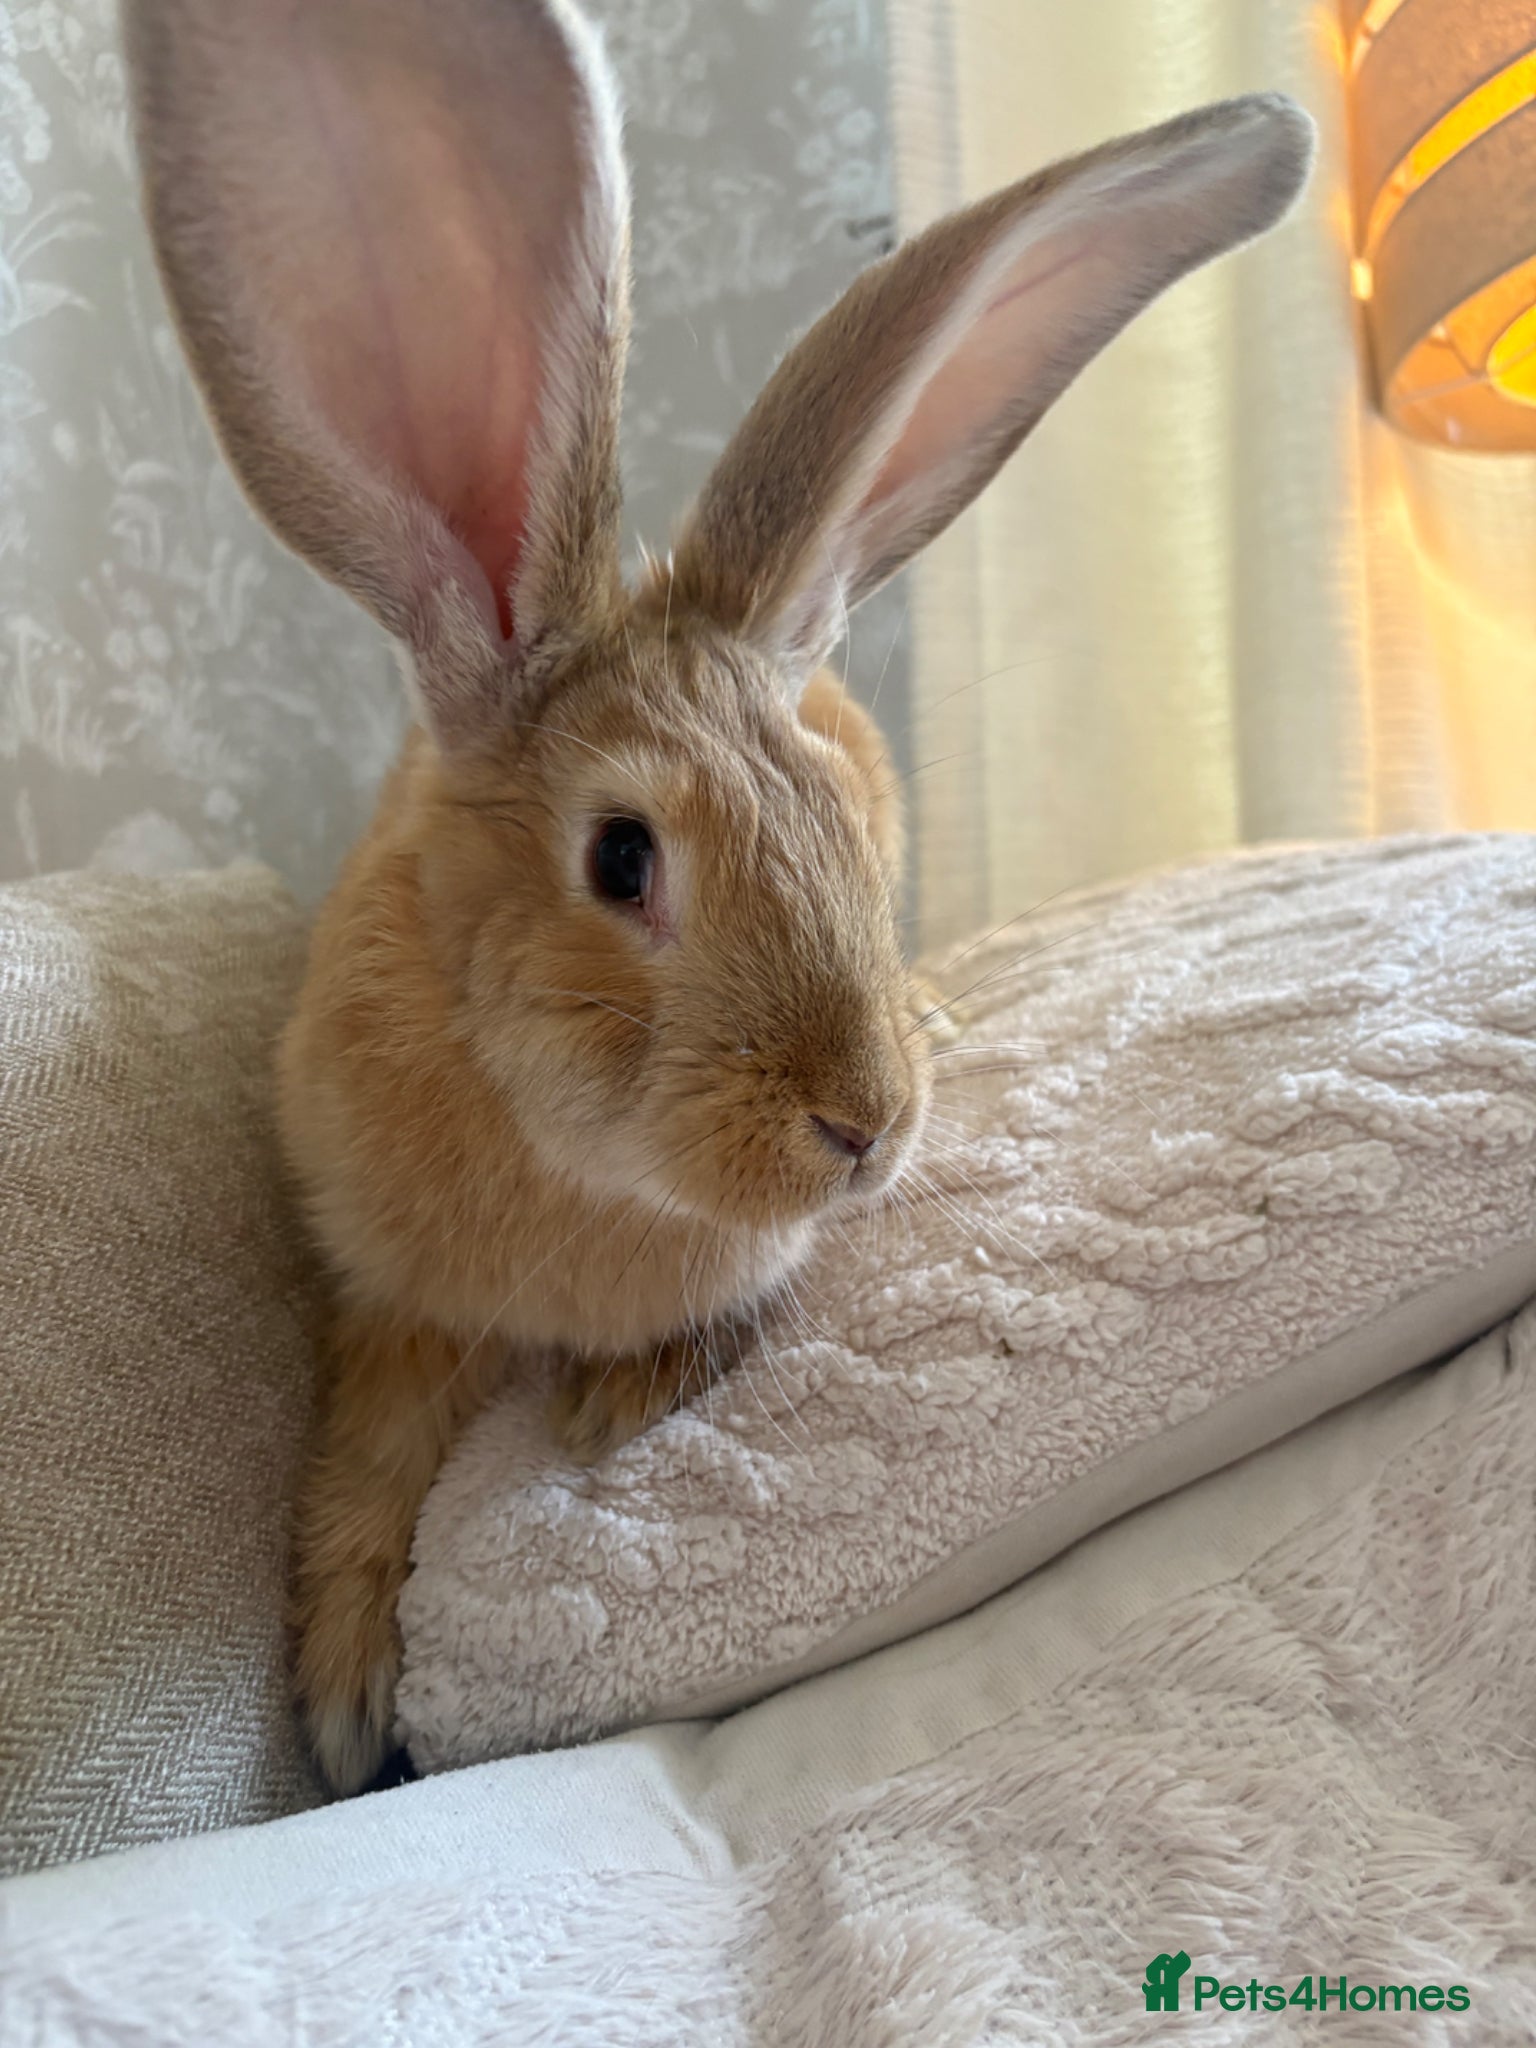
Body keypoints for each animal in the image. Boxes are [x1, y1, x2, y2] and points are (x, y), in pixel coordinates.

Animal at [123, 0, 1314, 1794]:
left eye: (845, 832)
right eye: (624, 859)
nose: (866, 1127)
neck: (573, 1158)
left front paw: (615, 1405)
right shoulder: (381, 1294)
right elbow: (369, 1453)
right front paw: (338, 1703)